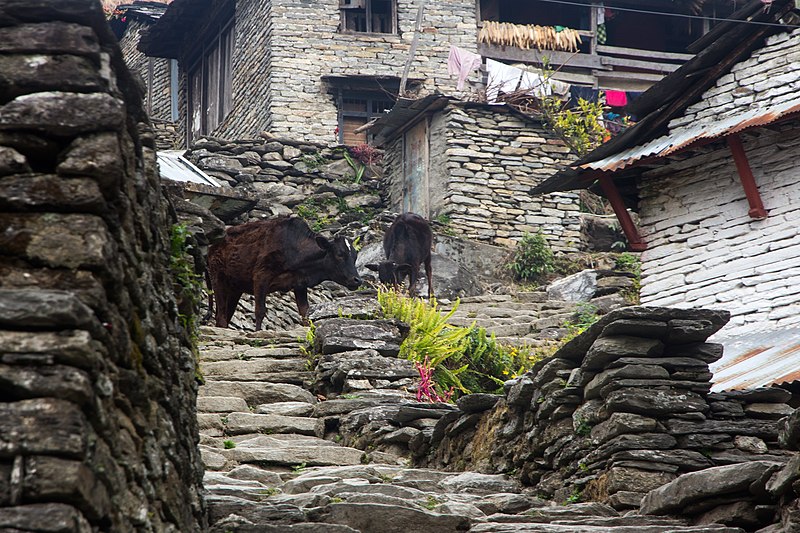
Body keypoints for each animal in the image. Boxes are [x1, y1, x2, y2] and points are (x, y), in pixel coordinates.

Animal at [206, 216, 360, 328]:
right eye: (340, 254)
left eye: (355, 256)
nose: (357, 280)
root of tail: (212, 246)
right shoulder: (261, 276)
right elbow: (260, 310)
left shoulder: (299, 284)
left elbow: (305, 312)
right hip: (217, 277)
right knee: (221, 314)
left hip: (235, 288)